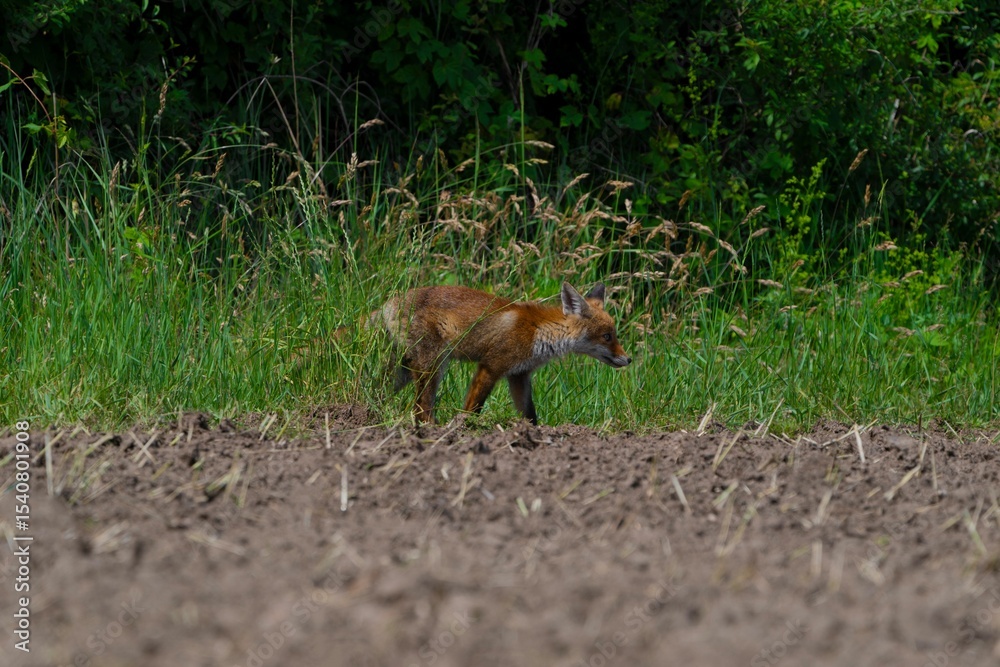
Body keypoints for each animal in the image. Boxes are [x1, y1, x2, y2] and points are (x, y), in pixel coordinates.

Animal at [372, 282, 631, 425]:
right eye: (607, 336)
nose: (628, 359)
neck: (539, 332)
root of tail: (387, 304)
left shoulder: (519, 376)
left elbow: (530, 416)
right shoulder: (491, 366)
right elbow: (473, 408)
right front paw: (464, 429)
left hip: (405, 371)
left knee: (380, 392)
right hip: (433, 366)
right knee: (421, 409)